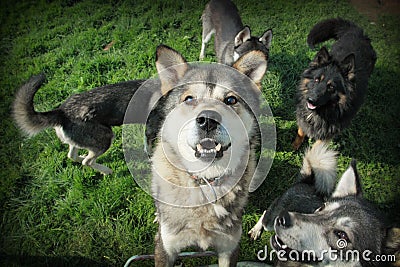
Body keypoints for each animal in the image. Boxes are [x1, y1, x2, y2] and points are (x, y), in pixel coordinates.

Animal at [11, 74, 158, 175]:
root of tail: (61, 112)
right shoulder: (151, 128)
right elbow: (150, 146)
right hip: (106, 137)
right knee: (87, 161)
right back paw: (106, 171)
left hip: (82, 141)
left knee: (72, 156)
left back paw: (85, 158)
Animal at [145, 45, 268, 266]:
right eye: (189, 99)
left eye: (230, 100)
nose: (208, 120)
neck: (205, 181)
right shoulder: (165, 246)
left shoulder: (229, 247)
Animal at [292, 17, 376, 150]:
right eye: (317, 80)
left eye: (331, 87)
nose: (310, 100)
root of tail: (358, 33)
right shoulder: (303, 117)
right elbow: (300, 131)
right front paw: (294, 146)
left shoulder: (328, 134)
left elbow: (317, 148)